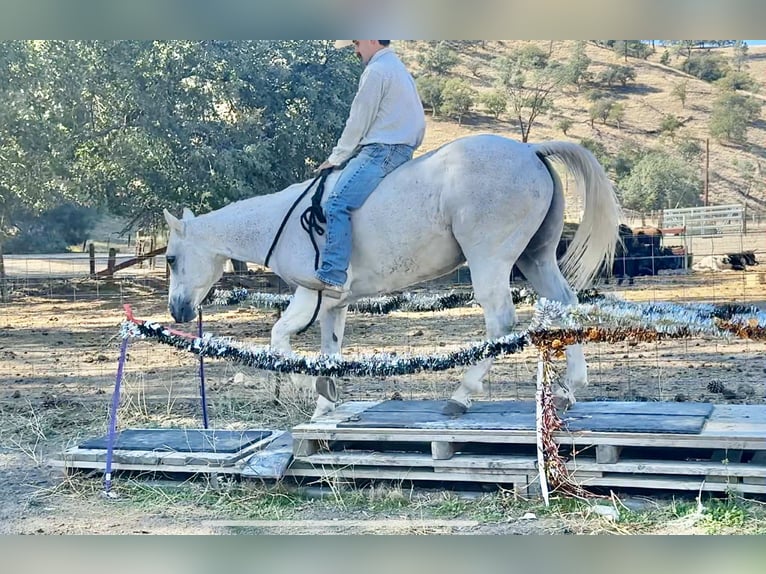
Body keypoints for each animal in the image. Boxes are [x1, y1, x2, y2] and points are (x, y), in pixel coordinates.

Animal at [163, 134, 621, 419]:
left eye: (169, 258)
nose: (177, 311)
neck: (287, 219)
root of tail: (530, 150)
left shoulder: (310, 295)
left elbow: (279, 339)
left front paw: (301, 385)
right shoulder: (334, 305)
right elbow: (330, 351)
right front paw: (325, 403)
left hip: (491, 263)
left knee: (501, 323)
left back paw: (461, 396)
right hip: (536, 260)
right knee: (565, 305)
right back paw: (568, 389)